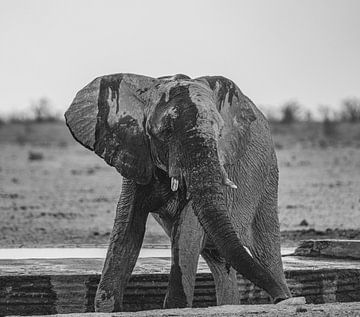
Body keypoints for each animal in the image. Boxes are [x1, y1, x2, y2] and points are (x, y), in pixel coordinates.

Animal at [65, 72, 300, 312]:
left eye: (220, 133)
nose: (283, 300)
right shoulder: (136, 155)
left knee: (267, 254)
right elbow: (127, 228)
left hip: (267, 183)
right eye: (166, 131)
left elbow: (186, 231)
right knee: (220, 261)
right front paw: (109, 308)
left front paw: (176, 307)